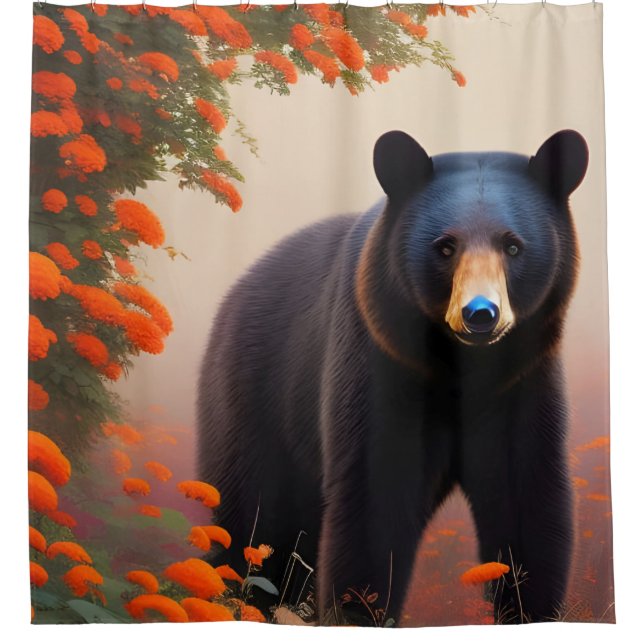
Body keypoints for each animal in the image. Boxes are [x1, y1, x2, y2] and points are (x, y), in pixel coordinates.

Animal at [196, 129, 589, 625]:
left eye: (514, 246)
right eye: (445, 246)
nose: (480, 314)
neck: (459, 367)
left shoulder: (523, 379)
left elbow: (528, 499)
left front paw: (528, 609)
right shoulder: (378, 359)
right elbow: (375, 497)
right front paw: (359, 611)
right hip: (254, 396)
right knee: (251, 520)